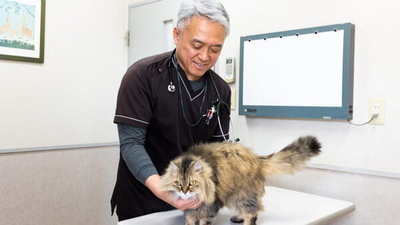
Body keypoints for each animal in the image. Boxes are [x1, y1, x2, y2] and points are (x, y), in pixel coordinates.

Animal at [161, 135, 320, 225]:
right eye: (178, 183)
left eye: (192, 183)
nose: (184, 192)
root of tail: (256, 158)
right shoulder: (189, 210)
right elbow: (190, 219)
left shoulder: (211, 205)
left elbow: (204, 220)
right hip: (233, 195)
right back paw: (238, 217)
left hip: (243, 194)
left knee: (252, 213)